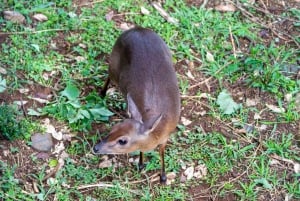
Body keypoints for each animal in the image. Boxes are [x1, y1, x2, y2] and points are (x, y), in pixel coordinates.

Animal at [92, 26, 179, 184]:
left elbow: (162, 151)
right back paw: (102, 93)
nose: (96, 148)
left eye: (122, 140)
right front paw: (140, 164)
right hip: (114, 63)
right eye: (113, 128)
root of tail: (138, 28)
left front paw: (163, 177)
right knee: (109, 76)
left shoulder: (166, 137)